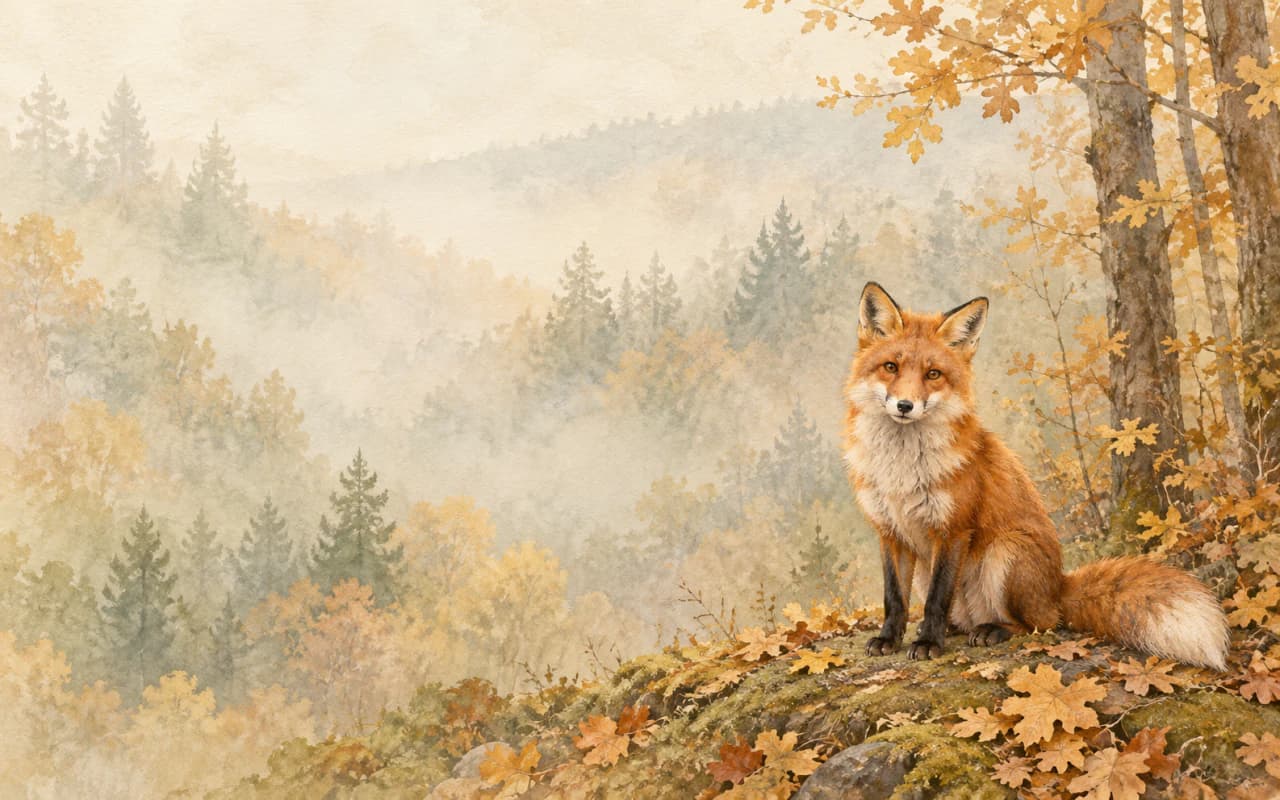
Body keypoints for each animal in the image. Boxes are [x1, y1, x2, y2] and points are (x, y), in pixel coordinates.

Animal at [843, 282, 1229, 670]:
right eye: (890, 367)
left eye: (933, 374)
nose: (905, 406)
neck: (901, 469)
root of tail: (1058, 587)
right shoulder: (889, 532)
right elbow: (894, 598)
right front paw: (889, 639)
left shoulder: (953, 529)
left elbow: (938, 598)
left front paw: (927, 644)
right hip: (931, 569)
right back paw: (955, 628)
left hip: (1006, 553)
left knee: (1039, 623)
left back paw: (992, 630)